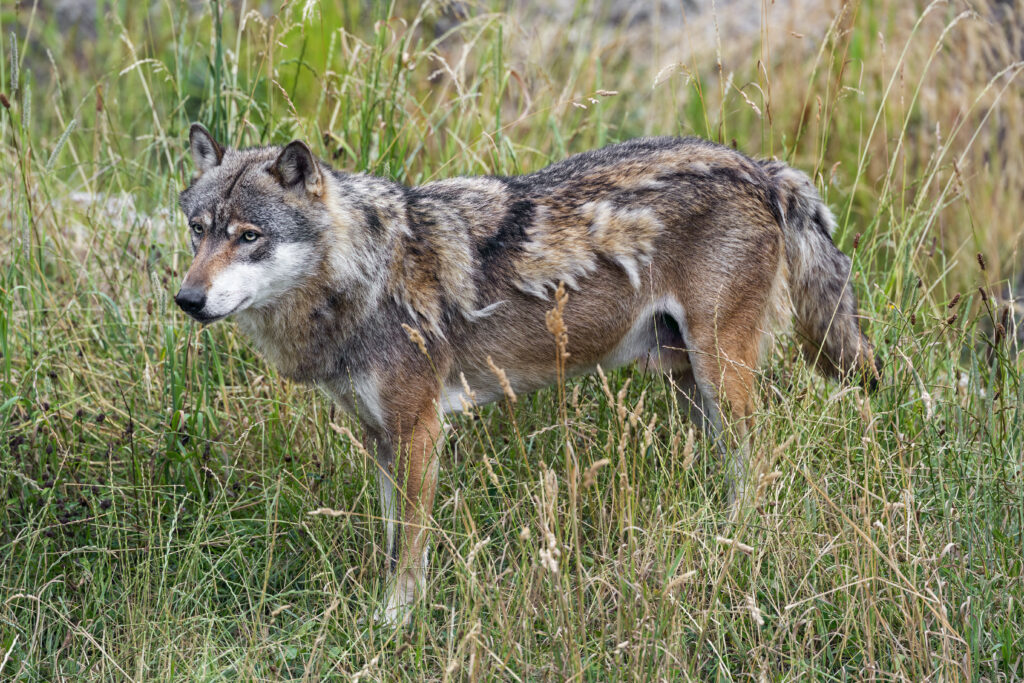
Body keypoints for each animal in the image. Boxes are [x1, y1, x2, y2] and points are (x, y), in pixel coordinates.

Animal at [175, 124, 878, 622]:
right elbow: (393, 537)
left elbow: (411, 548)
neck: (361, 278)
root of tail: (757, 167)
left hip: (719, 375)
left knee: (758, 461)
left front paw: (395, 622)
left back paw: (736, 542)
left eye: (248, 236)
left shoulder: (419, 431)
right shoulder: (381, 438)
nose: (186, 300)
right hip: (688, 385)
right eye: (198, 230)